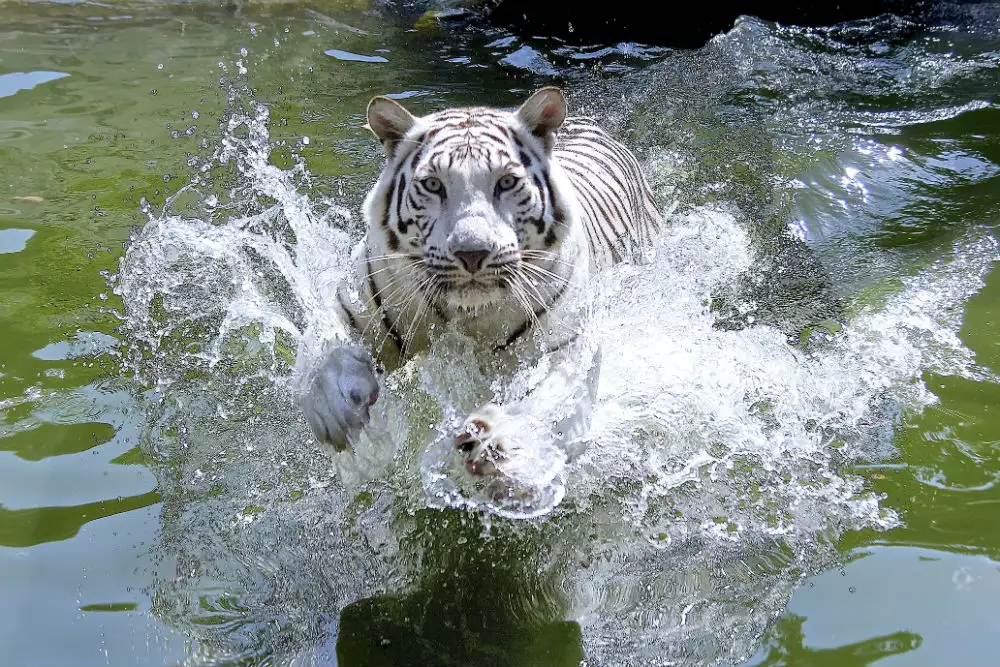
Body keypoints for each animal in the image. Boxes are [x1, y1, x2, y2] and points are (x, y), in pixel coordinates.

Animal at [304, 87, 664, 486]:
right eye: (433, 184)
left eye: (506, 182)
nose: (472, 253)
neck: (467, 315)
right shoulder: (357, 307)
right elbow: (324, 353)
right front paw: (333, 409)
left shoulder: (571, 343)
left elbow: (552, 398)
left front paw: (500, 439)